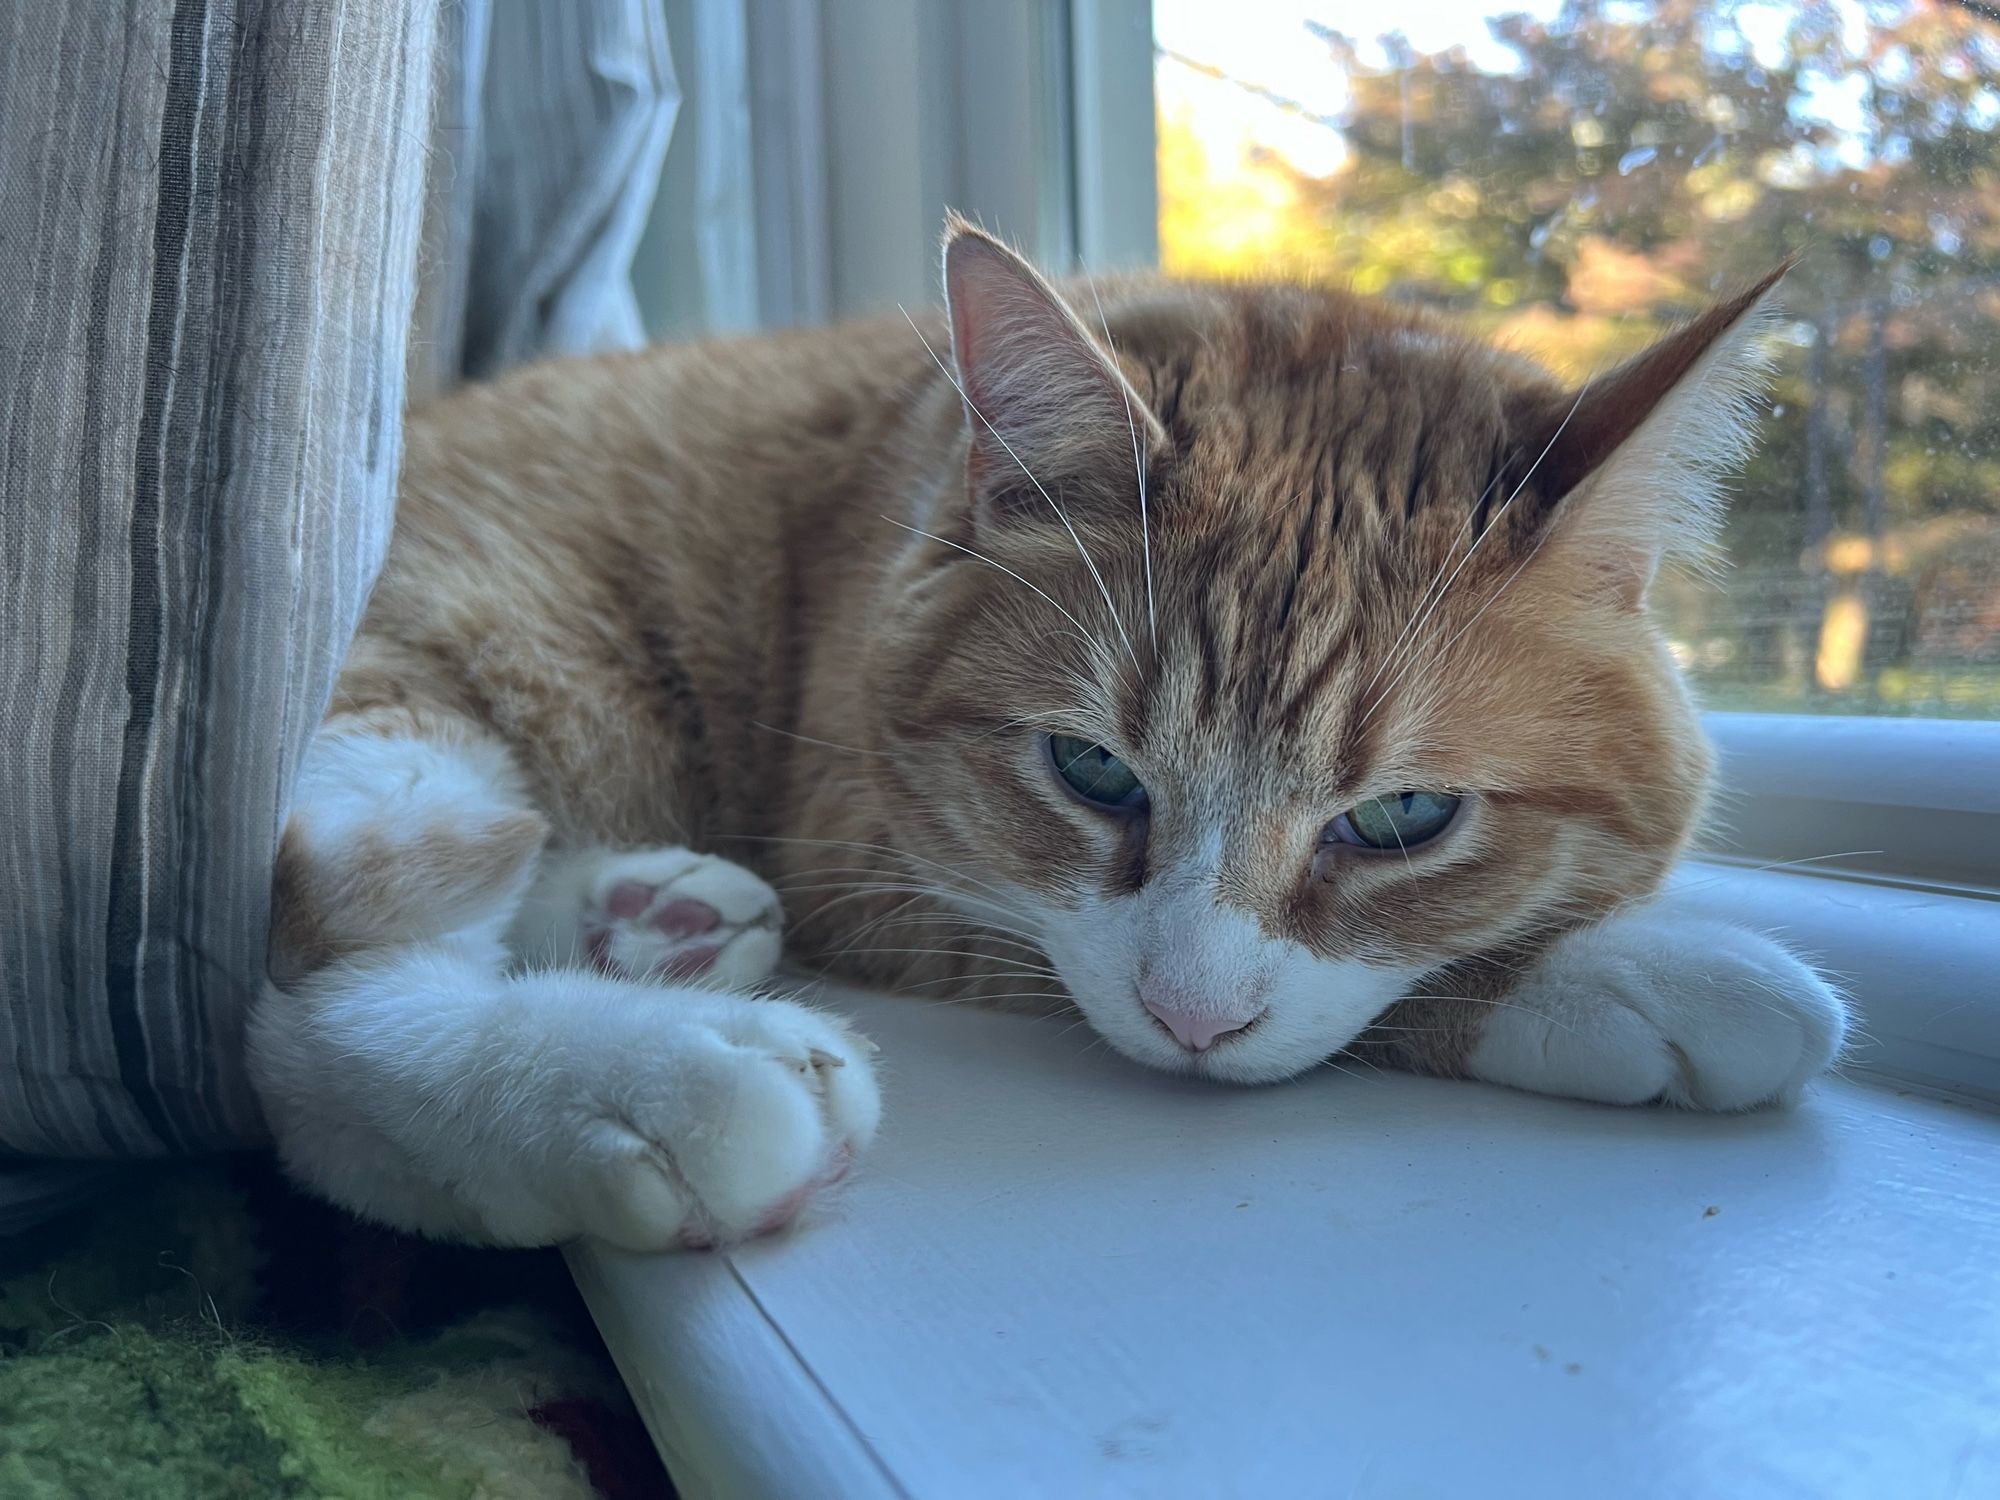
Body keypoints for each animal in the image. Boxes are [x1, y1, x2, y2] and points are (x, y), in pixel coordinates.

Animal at [246, 212, 1840, 1248]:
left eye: (1401, 818)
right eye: (1091, 770)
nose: (1195, 1022)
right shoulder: (865, 853)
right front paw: (1634, 972)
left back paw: (647, 917)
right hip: (470, 644)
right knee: (308, 1018)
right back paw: (641, 1073)